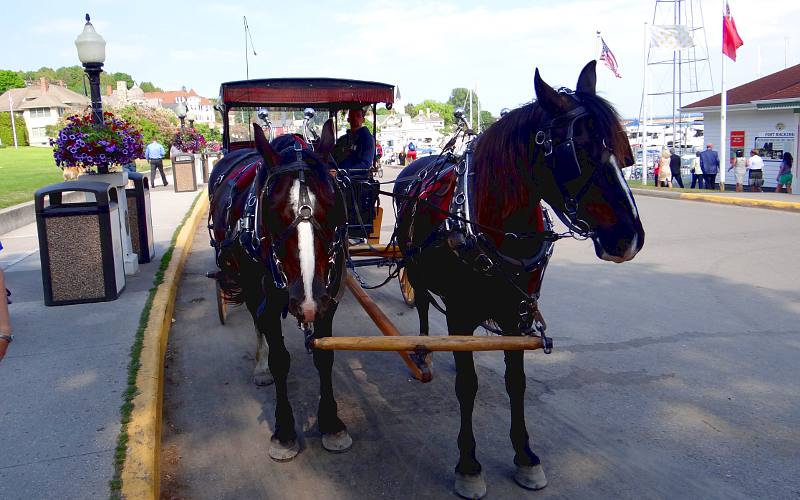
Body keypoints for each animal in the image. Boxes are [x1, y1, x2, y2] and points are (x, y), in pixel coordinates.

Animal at [208, 120, 352, 460]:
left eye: (333, 205)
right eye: (272, 210)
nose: (308, 301)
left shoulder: (328, 299)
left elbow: (325, 356)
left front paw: (331, 423)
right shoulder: (268, 301)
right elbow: (280, 359)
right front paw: (284, 430)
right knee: (256, 323)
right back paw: (260, 367)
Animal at [394, 61, 644, 496]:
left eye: (623, 151)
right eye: (578, 152)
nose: (629, 238)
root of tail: (414, 167)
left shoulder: (518, 313)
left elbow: (517, 381)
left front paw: (525, 456)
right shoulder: (460, 314)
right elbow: (468, 385)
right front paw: (468, 464)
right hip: (418, 272)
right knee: (422, 304)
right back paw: (424, 348)